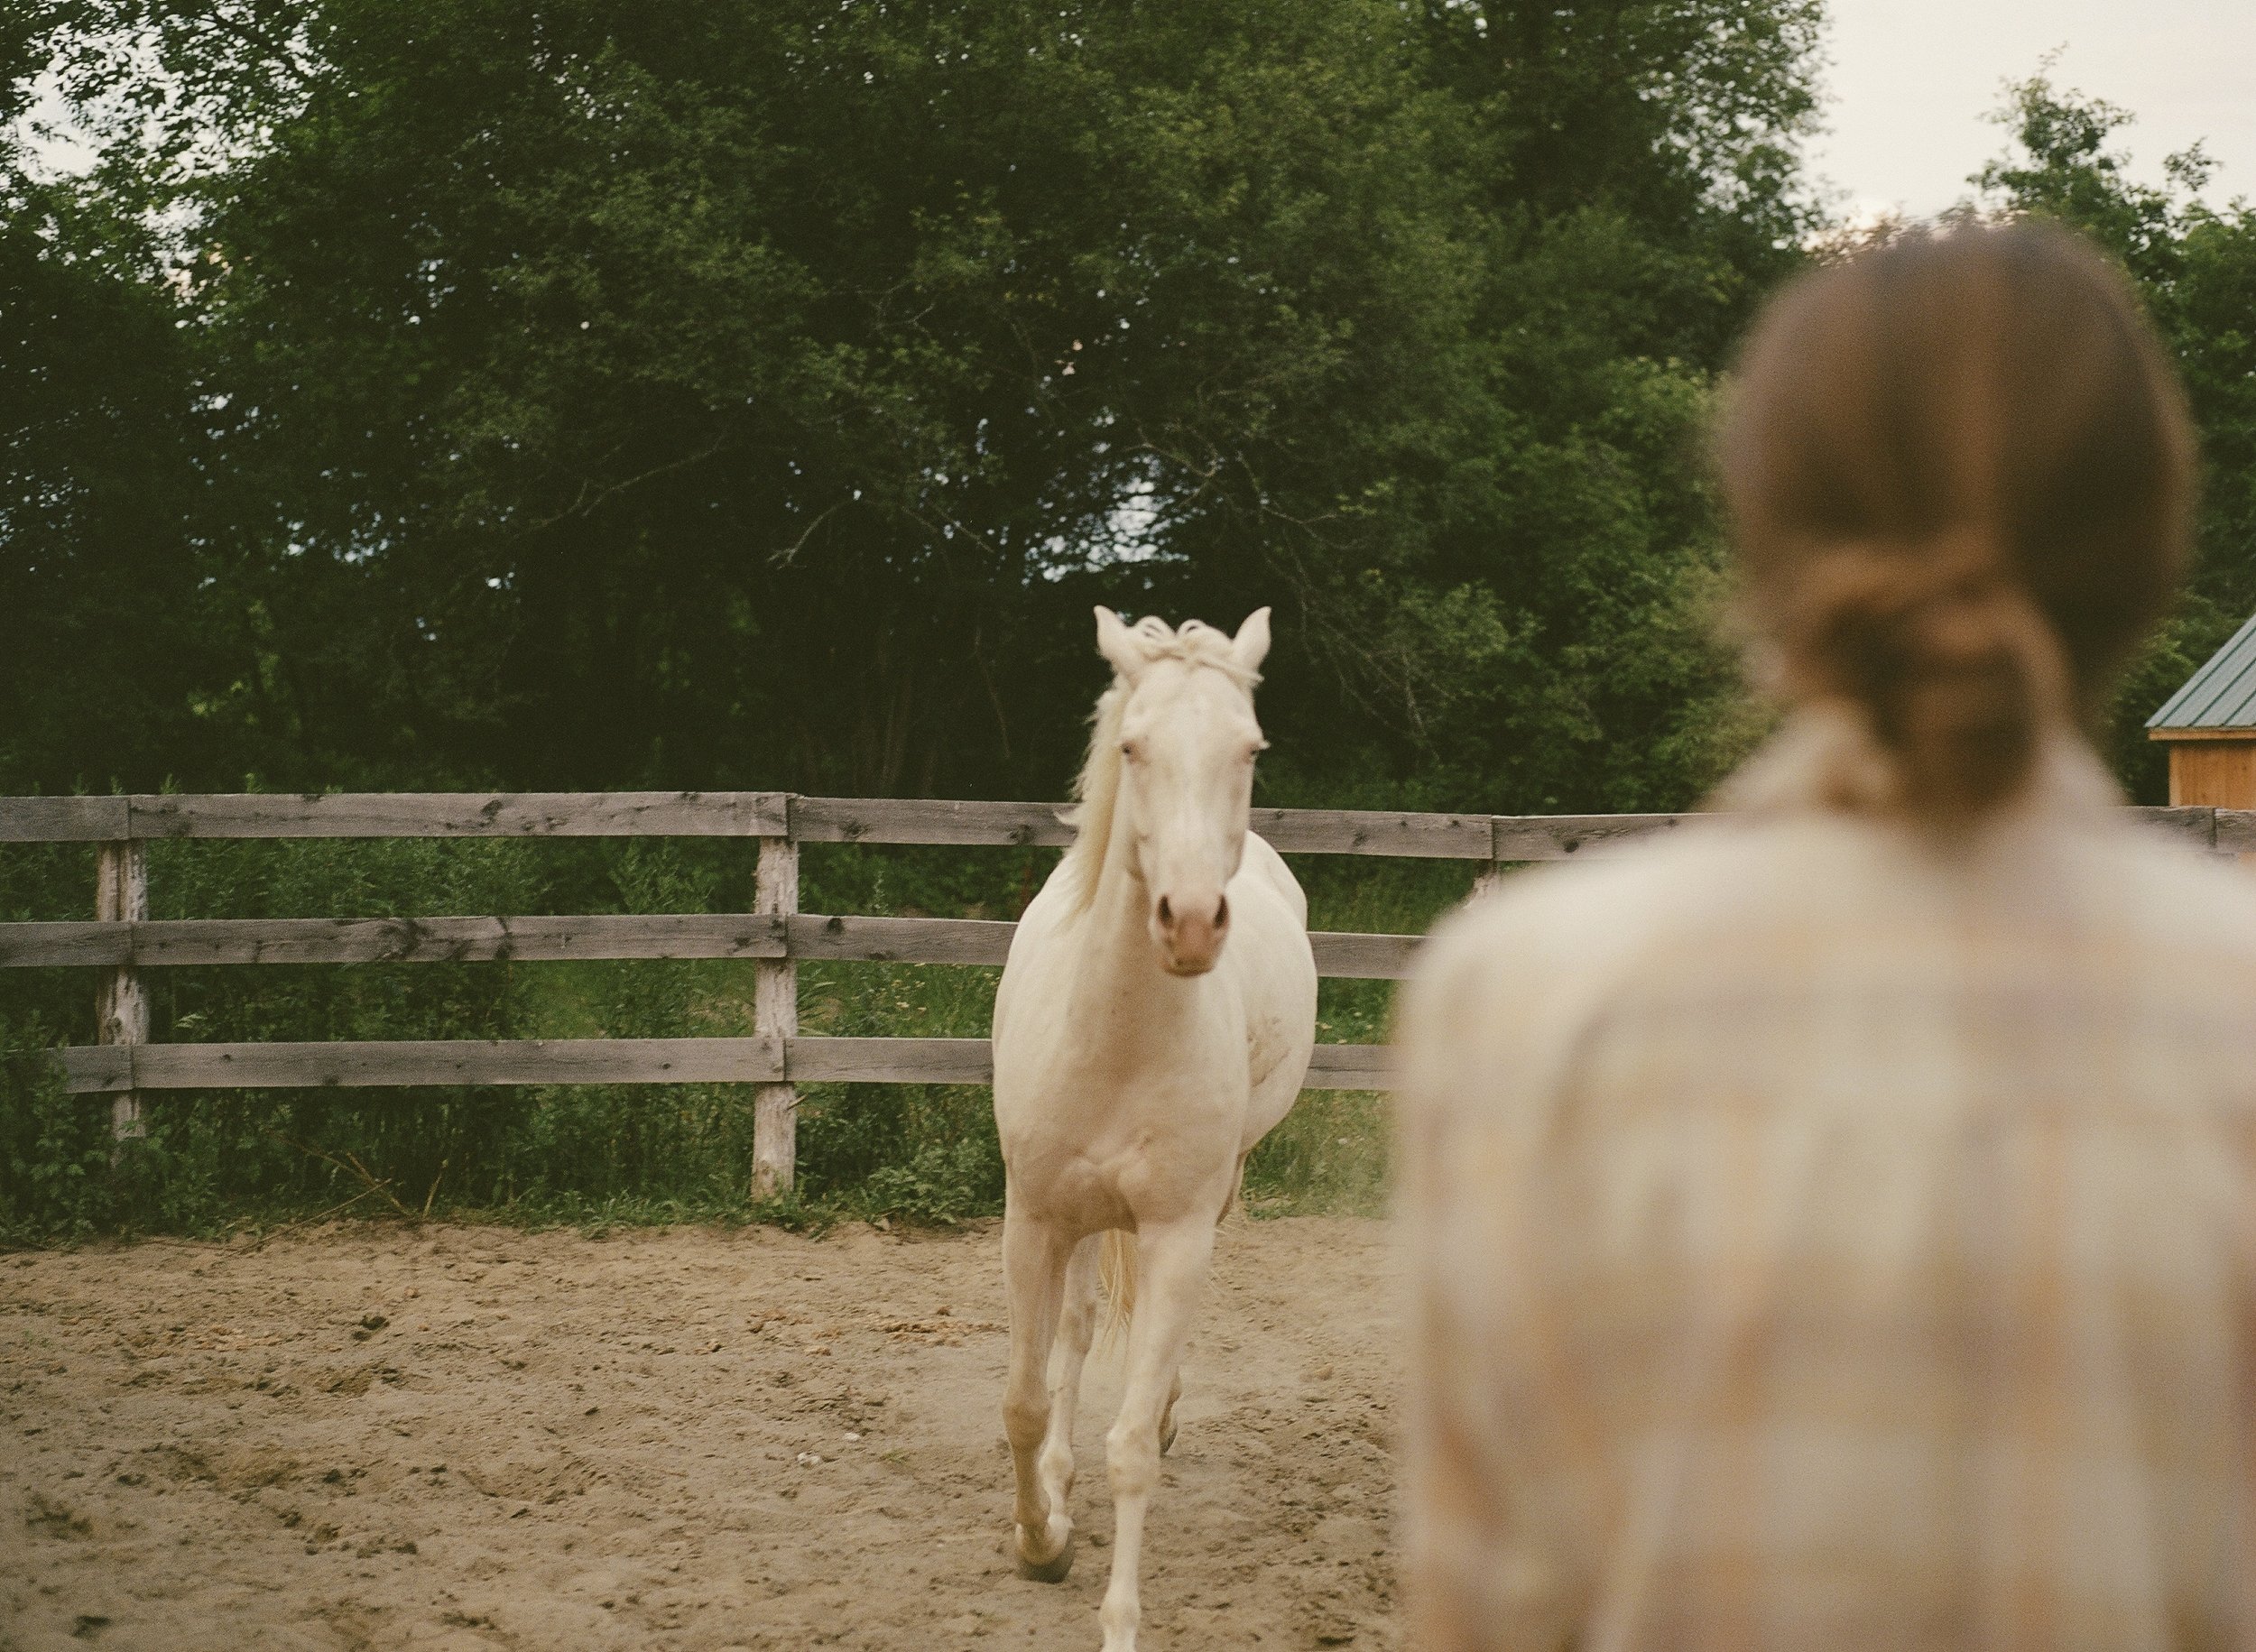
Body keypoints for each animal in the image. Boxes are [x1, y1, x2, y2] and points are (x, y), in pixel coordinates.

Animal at [990, 605, 1318, 1650]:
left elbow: (1131, 1447)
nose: (1190, 922)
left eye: (1249, 749)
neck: (1119, 1038)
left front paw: (1119, 1619)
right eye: (1132, 746)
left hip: (1209, 1201)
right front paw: (1041, 1539)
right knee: (1079, 1329)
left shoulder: (1175, 1232)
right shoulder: (1033, 1222)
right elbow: (1025, 1401)